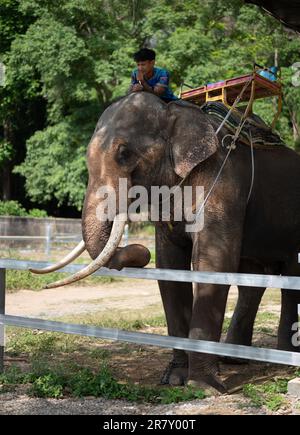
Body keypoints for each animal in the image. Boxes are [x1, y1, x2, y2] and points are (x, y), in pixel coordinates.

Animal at [32, 93, 300, 396]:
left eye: (124, 153)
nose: (139, 251)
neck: (176, 112)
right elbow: (170, 266)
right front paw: (174, 379)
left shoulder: (223, 185)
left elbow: (213, 262)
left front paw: (202, 386)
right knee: (251, 281)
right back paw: (234, 359)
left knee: (290, 279)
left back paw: (285, 361)